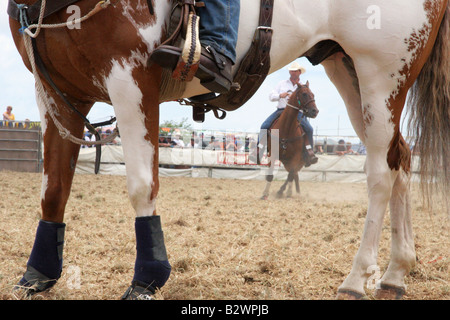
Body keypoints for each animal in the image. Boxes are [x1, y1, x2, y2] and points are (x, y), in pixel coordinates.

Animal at [7, 0, 450, 300]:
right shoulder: (57, 93)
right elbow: (54, 188)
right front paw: (37, 275)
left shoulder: (130, 79)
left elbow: (142, 184)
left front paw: (148, 277)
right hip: (349, 70)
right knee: (400, 159)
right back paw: (394, 274)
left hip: (382, 73)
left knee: (380, 174)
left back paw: (358, 279)